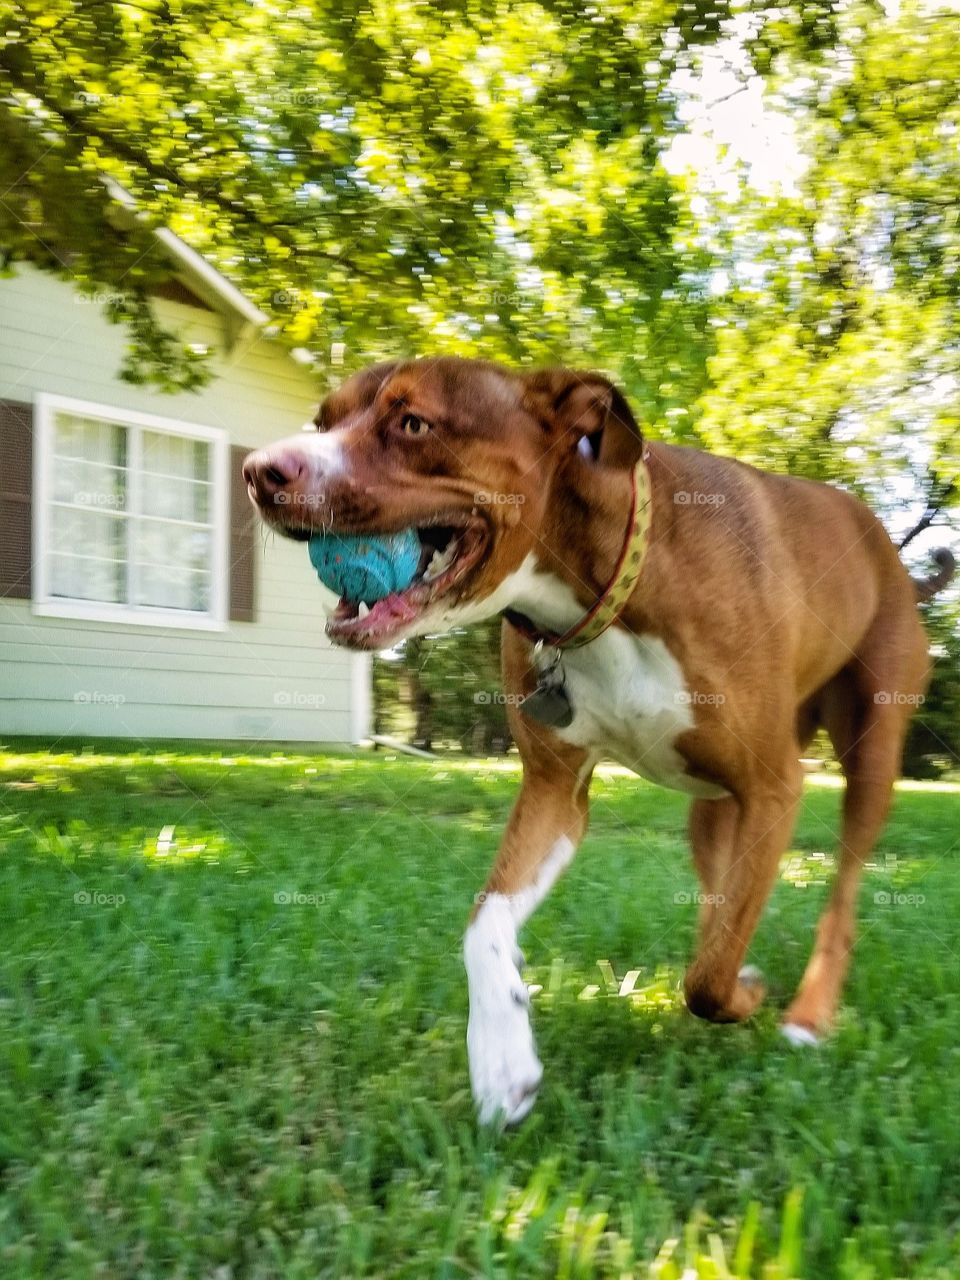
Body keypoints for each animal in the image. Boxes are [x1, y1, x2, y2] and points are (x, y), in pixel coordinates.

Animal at [245, 358, 957, 1121]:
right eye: (322, 420)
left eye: (413, 423)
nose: (259, 471)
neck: (603, 593)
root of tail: (896, 560)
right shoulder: (556, 793)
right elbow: (486, 921)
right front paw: (502, 1057)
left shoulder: (774, 787)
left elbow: (710, 979)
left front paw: (744, 997)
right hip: (713, 808)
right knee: (721, 894)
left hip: (870, 756)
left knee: (839, 897)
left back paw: (809, 1015)